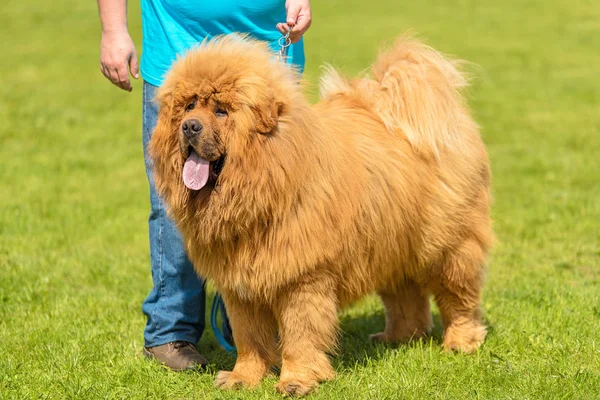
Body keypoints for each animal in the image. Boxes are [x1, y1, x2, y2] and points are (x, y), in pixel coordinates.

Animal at [149, 33, 492, 394]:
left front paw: (296, 381)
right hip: (391, 243)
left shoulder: (303, 277)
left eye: (221, 110)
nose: (190, 127)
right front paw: (243, 378)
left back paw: (460, 342)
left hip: (449, 246)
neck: (270, 176)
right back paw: (396, 337)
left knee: (458, 296)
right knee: (405, 296)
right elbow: (249, 337)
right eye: (189, 106)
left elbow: (300, 335)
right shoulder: (241, 285)